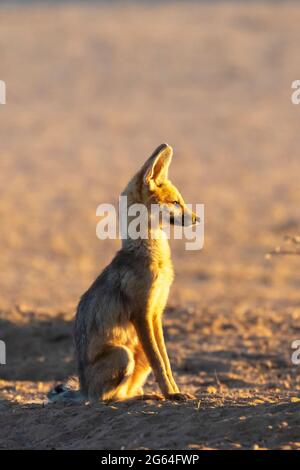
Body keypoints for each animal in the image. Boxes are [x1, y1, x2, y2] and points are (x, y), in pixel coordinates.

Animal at [48, 144, 199, 404]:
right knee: (105, 399)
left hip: (136, 351)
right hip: (123, 354)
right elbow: (160, 363)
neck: (151, 255)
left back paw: (144, 395)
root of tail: (83, 389)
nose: (197, 218)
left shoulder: (156, 314)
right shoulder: (141, 315)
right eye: (175, 202)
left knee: (121, 393)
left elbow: (166, 362)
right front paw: (172, 394)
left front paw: (173, 390)